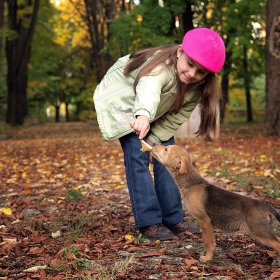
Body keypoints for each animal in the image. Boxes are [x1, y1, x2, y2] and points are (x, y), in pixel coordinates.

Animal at [152, 144, 280, 262]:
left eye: (166, 149)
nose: (153, 144)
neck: (192, 184)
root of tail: (265, 206)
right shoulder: (206, 224)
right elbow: (206, 241)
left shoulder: (205, 220)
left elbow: (209, 242)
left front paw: (207, 258)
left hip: (259, 230)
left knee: (277, 243)